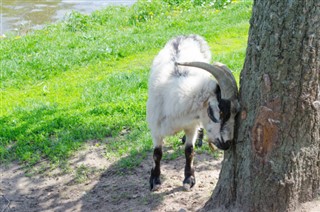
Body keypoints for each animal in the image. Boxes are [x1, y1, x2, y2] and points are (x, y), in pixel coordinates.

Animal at [146, 34, 239, 190]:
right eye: (219, 112)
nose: (227, 144)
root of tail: (187, 35)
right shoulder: (156, 128)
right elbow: (157, 153)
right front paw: (155, 180)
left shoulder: (191, 126)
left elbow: (189, 151)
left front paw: (189, 179)